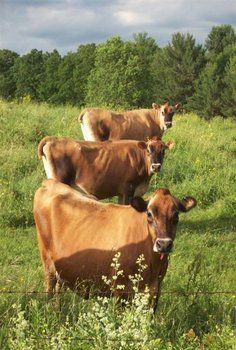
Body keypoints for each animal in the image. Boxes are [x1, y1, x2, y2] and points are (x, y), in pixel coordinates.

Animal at [32, 179, 195, 310]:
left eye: (176, 215)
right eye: (149, 214)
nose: (164, 244)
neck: (152, 263)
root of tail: (50, 183)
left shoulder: (156, 289)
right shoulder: (121, 290)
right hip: (47, 263)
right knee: (50, 289)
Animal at [37, 135, 174, 204]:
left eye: (163, 151)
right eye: (148, 150)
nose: (156, 166)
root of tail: (53, 139)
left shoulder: (122, 193)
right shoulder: (128, 188)